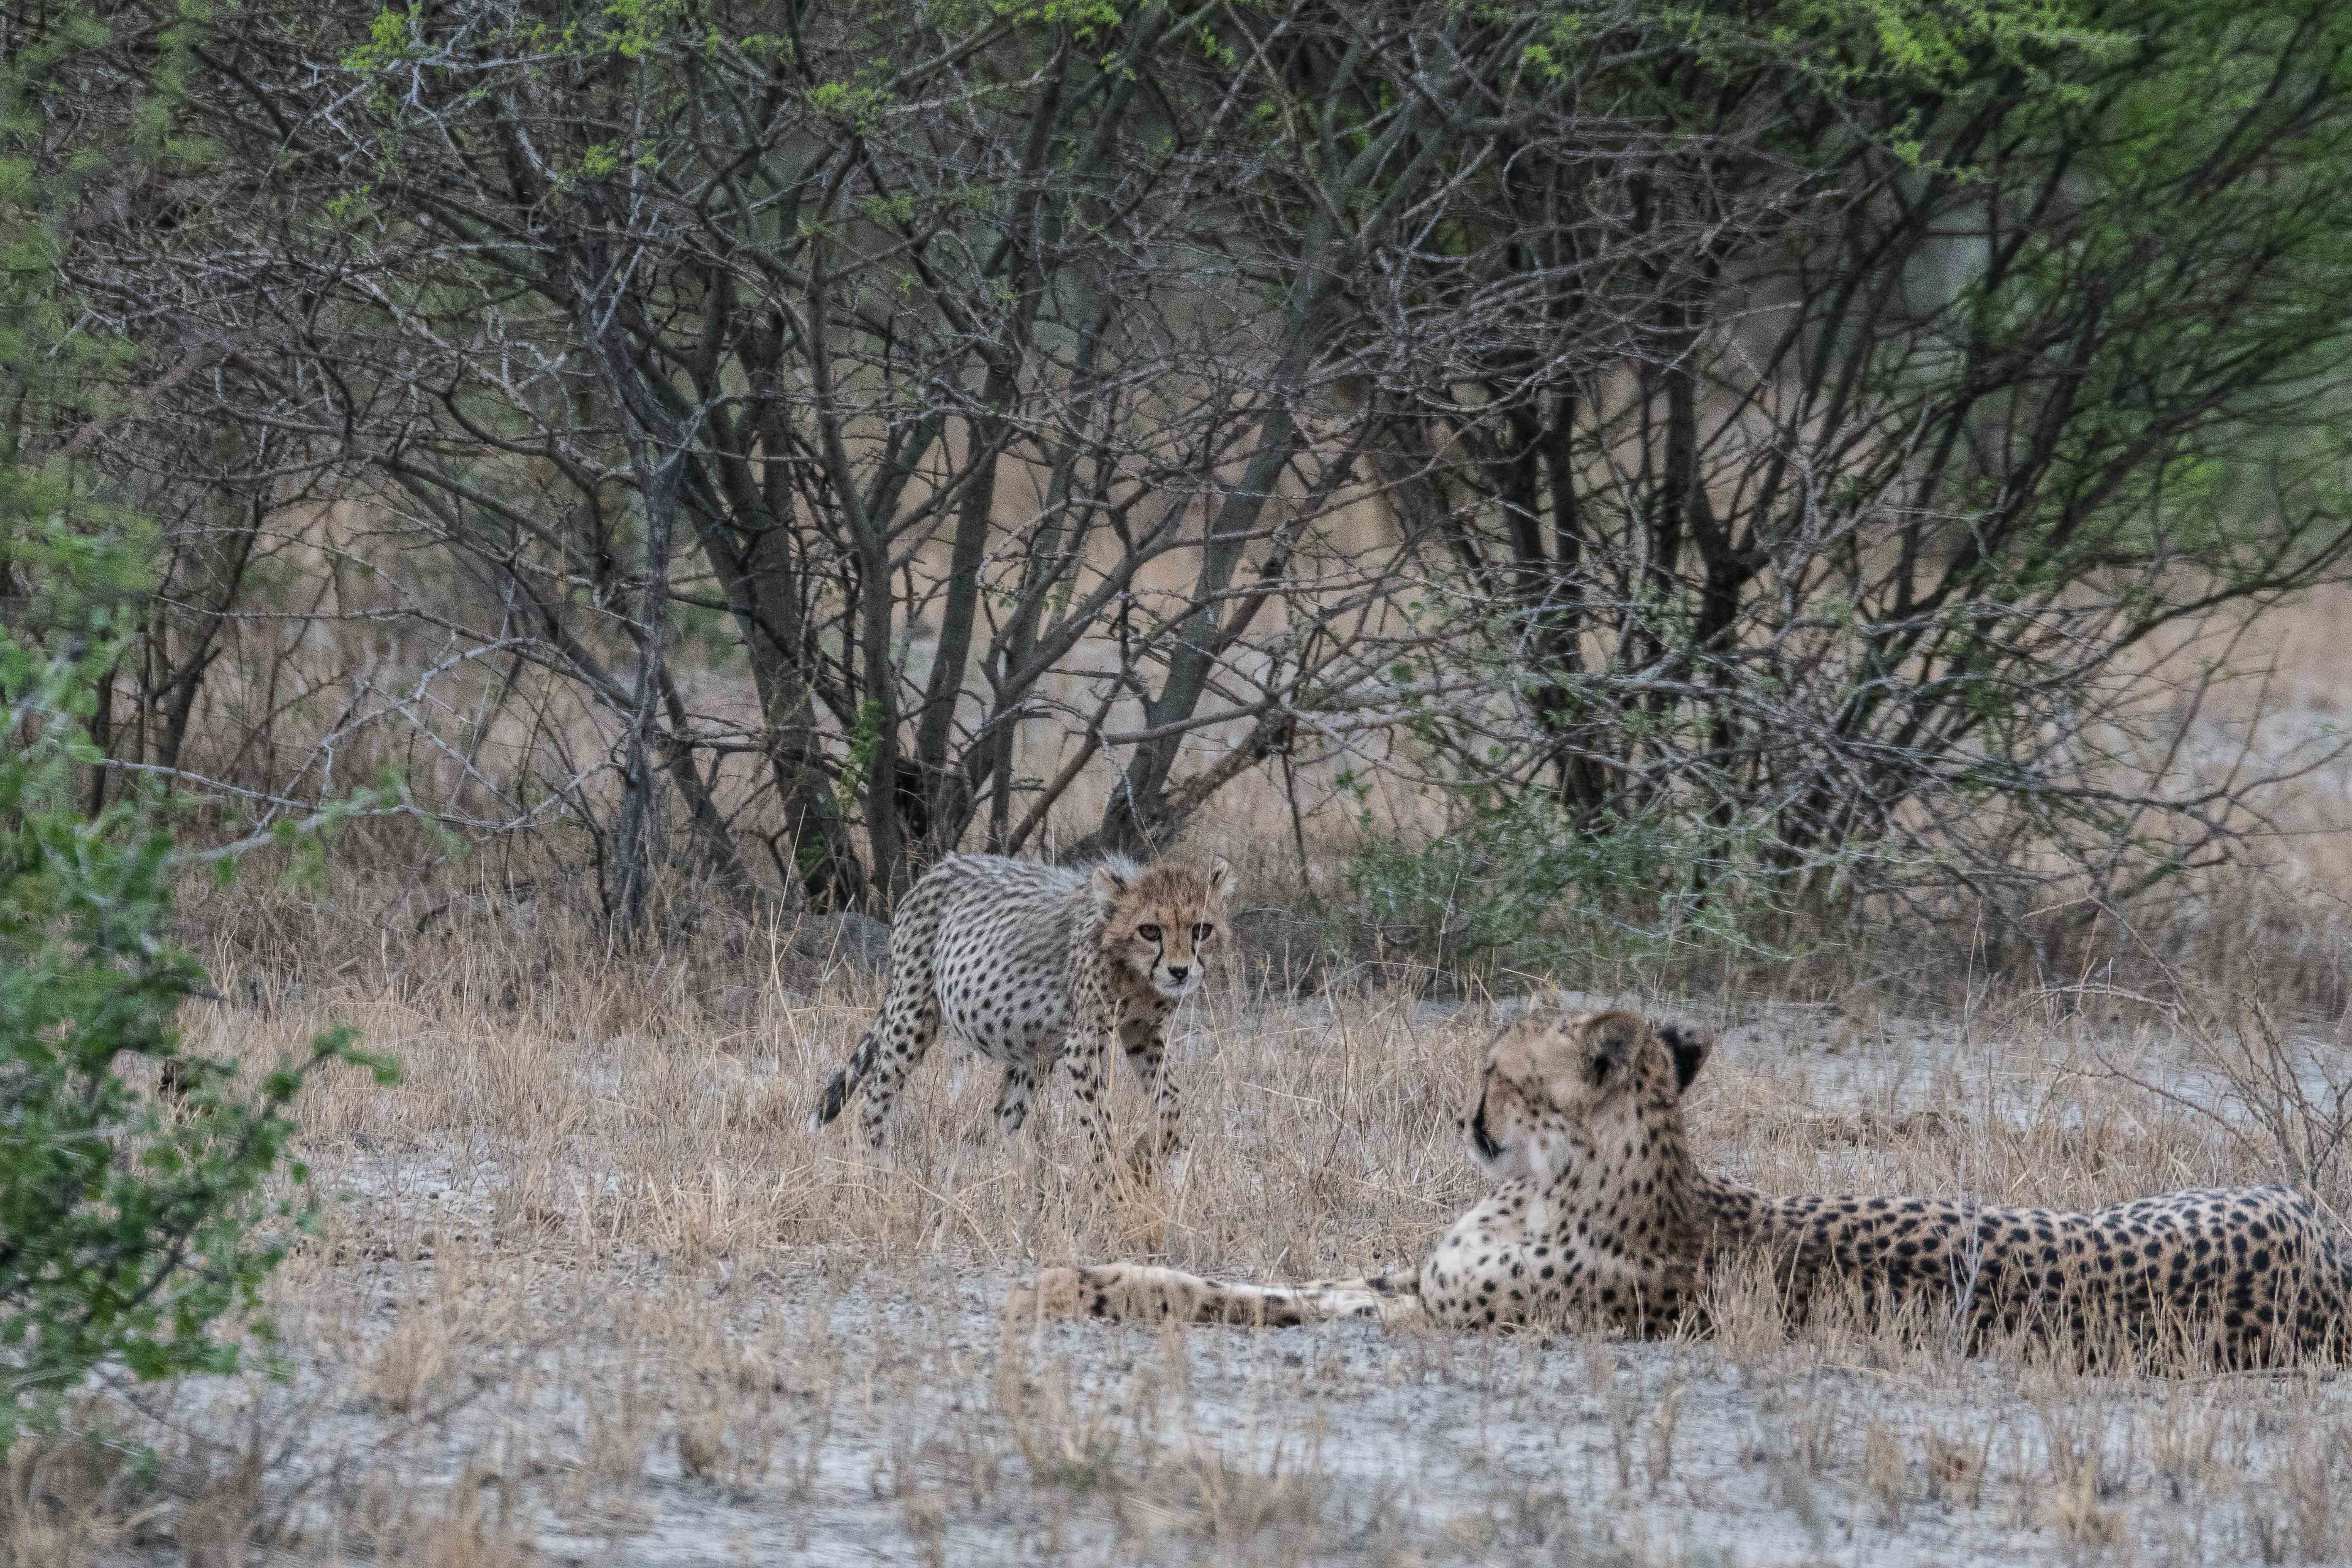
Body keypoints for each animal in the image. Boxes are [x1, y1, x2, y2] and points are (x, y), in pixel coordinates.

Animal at [814, 851, 1232, 1171]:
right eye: (1150, 931)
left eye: (1201, 930)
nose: (1180, 971)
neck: (1135, 973)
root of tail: (942, 865)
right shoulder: (1085, 1041)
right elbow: (1099, 1121)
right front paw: (1114, 1183)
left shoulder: (1142, 1030)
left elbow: (1171, 1102)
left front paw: (1145, 1153)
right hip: (914, 1015)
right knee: (873, 1100)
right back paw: (876, 1173)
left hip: (1034, 1041)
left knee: (1005, 1116)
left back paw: (1030, 1179)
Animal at [1021, 1006, 2352, 1363]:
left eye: (1497, 1070)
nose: (1464, 1116)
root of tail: (2325, 1241)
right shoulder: (1409, 1279)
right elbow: (1244, 1276)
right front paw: (1081, 1274)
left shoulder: (1435, 1318)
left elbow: (1257, 1300)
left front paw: (1079, 1287)